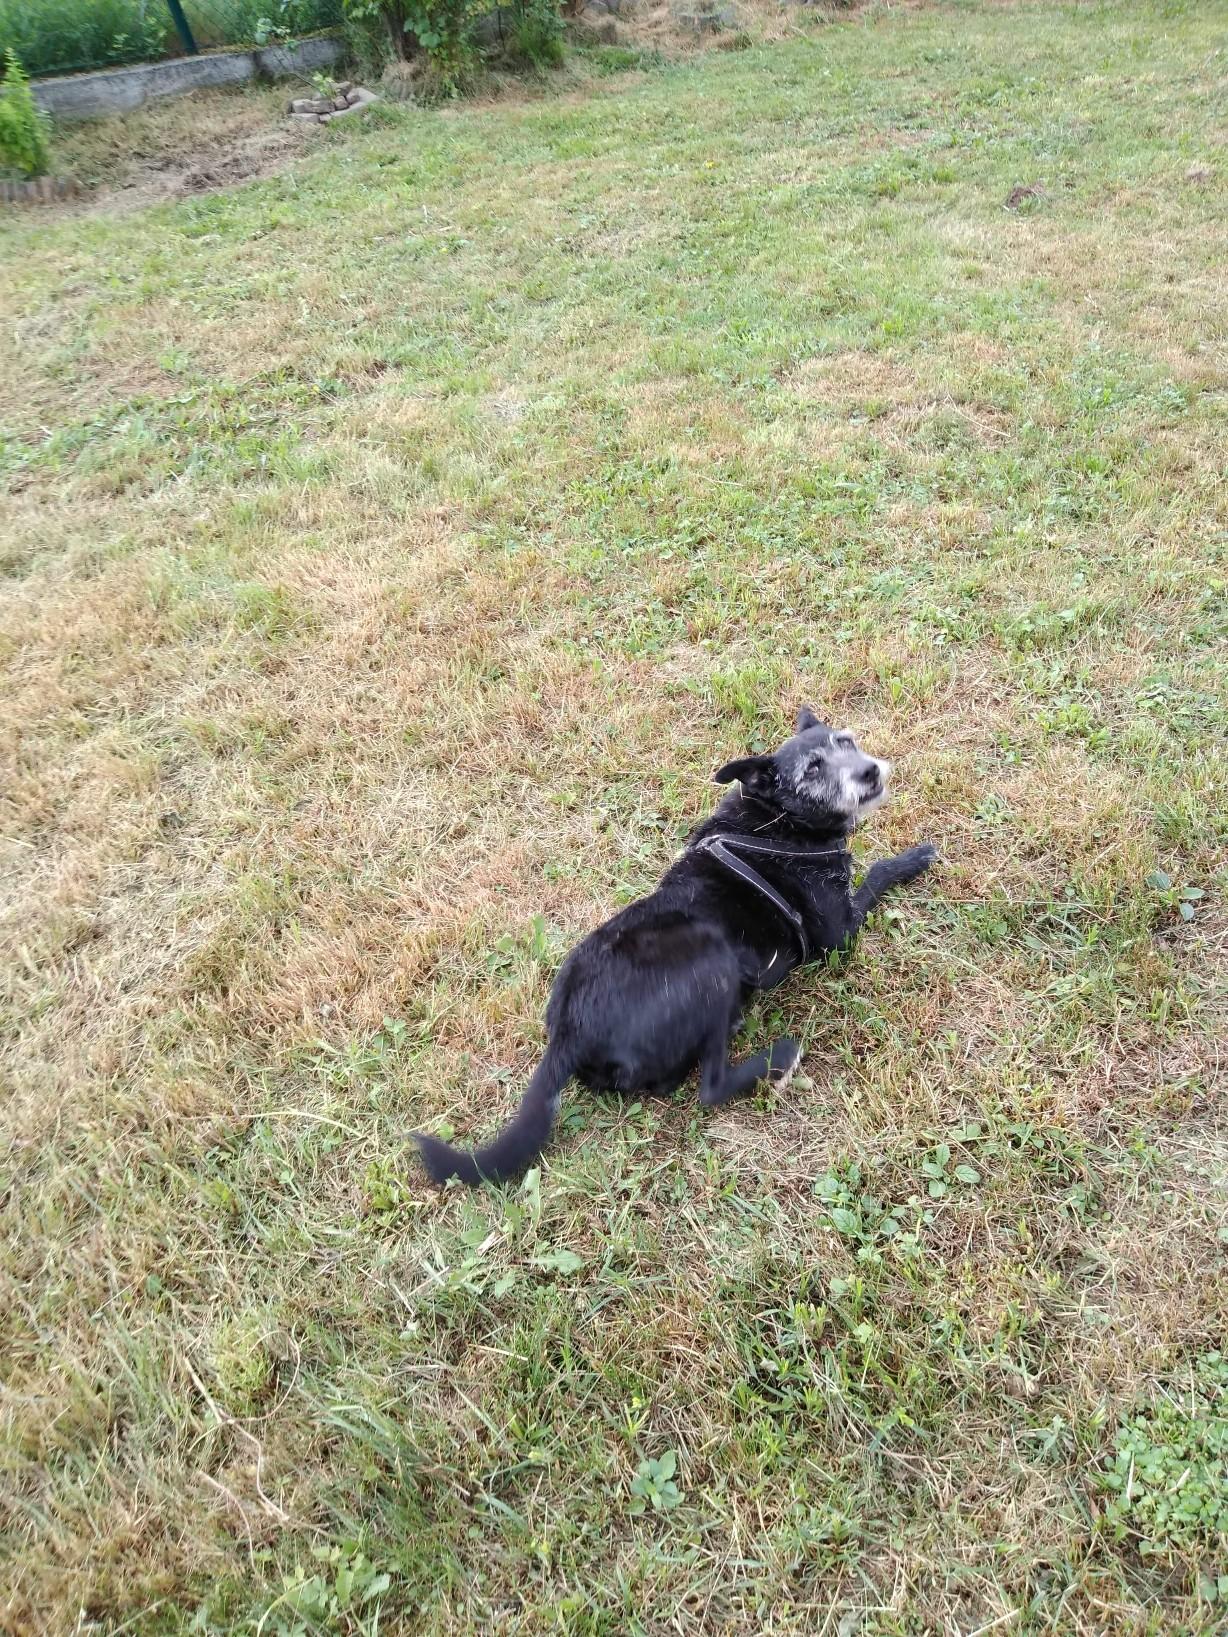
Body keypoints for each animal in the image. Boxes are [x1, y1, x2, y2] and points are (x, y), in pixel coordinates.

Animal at [415, 709, 937, 1186]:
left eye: (846, 741)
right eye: (812, 769)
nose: (869, 771)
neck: (775, 822)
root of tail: (569, 1029)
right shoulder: (838, 932)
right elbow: (876, 873)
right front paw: (914, 858)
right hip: (713, 961)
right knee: (710, 1088)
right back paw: (776, 1058)